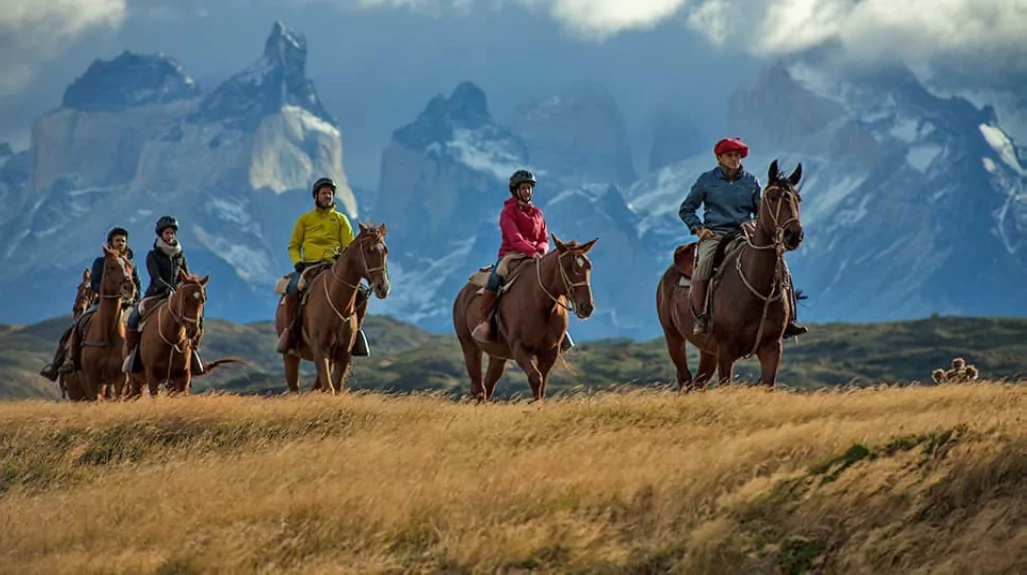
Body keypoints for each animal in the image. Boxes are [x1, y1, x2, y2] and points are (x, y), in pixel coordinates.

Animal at [75, 244, 136, 402]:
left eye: (130, 266)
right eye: (111, 267)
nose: (129, 288)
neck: (107, 332)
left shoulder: (121, 379)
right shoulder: (91, 380)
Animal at [275, 220, 390, 394]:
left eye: (385, 251)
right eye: (368, 250)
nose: (382, 287)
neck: (337, 302)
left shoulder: (343, 354)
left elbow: (335, 387)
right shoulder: (320, 350)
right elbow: (329, 388)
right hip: (290, 356)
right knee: (294, 385)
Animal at [451, 231, 599, 402]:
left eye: (589, 266)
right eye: (568, 267)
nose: (586, 307)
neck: (541, 305)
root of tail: (462, 294)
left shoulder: (550, 351)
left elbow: (543, 383)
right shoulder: (519, 348)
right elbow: (536, 379)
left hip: (498, 355)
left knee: (488, 385)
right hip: (470, 346)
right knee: (478, 388)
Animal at [653, 159, 805, 392]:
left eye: (798, 198)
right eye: (772, 197)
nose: (794, 234)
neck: (757, 285)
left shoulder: (772, 348)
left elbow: (768, 385)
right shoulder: (726, 351)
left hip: (707, 351)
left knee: (698, 382)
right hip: (674, 337)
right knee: (685, 379)